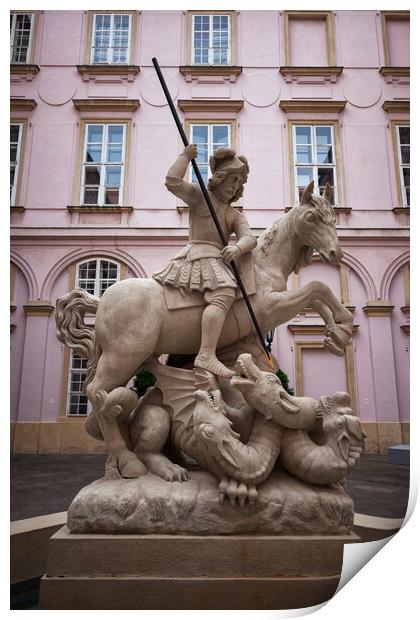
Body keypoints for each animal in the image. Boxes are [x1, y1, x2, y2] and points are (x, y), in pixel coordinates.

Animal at [55, 182, 352, 478]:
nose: (335, 254)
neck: (262, 269)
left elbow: (316, 296)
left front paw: (337, 334)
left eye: (332, 218)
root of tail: (101, 300)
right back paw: (129, 462)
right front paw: (344, 322)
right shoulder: (271, 307)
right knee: (97, 394)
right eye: (311, 217)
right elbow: (317, 288)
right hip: (122, 357)